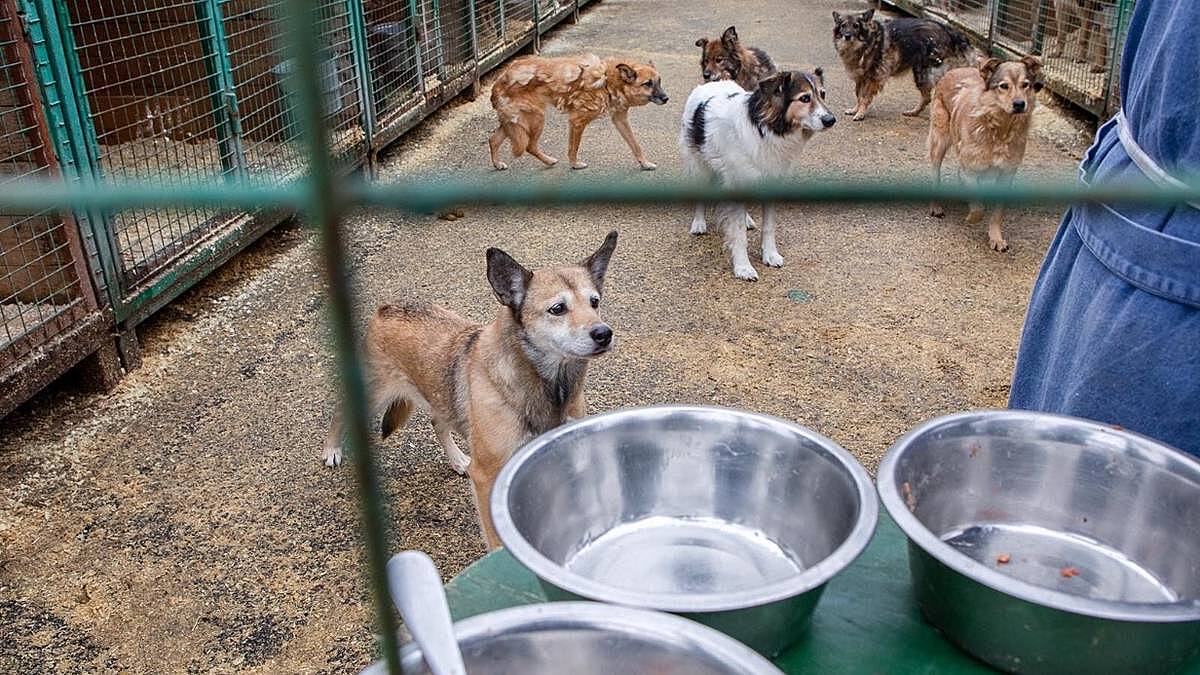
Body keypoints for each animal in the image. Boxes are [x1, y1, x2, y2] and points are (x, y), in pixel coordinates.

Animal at [321, 230, 619, 547]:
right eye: (558, 309)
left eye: (595, 302)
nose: (604, 334)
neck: (547, 383)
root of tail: (386, 308)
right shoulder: (488, 476)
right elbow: (497, 539)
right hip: (371, 394)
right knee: (340, 412)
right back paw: (331, 450)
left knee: (438, 422)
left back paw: (456, 460)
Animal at [681, 69, 840, 278]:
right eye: (805, 98)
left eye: (823, 94)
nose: (831, 120)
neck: (767, 129)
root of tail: (713, 83)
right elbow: (738, 233)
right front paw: (743, 267)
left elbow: (769, 227)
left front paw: (770, 255)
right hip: (699, 165)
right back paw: (698, 224)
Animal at [926, 56, 1041, 251]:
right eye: (1004, 86)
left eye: (1026, 85)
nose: (1019, 104)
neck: (1000, 131)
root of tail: (955, 69)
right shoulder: (970, 168)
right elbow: (978, 207)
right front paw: (972, 217)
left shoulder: (1006, 174)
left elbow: (997, 213)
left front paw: (996, 237)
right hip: (939, 141)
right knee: (935, 174)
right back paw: (935, 206)